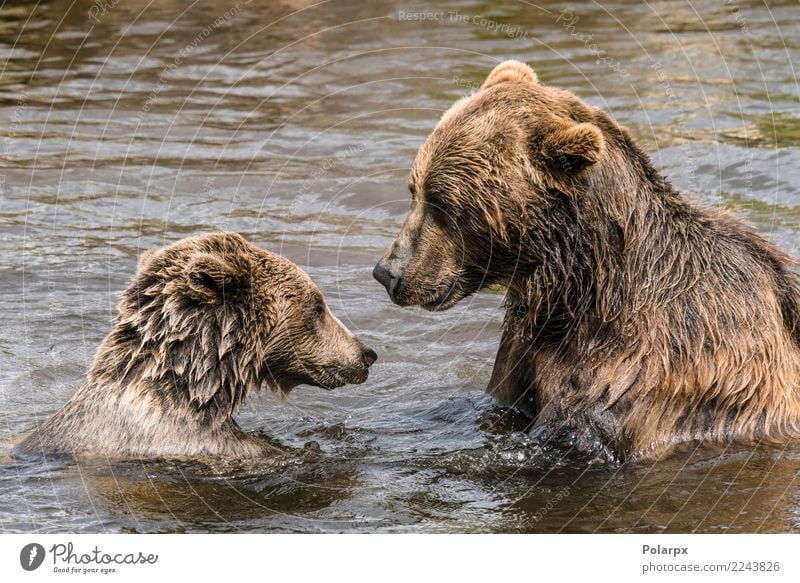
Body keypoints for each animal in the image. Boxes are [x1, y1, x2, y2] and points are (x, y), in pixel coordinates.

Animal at [374, 59, 800, 460]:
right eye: (415, 189)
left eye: (441, 203)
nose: (387, 272)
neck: (580, 291)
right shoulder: (523, 354)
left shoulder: (635, 374)